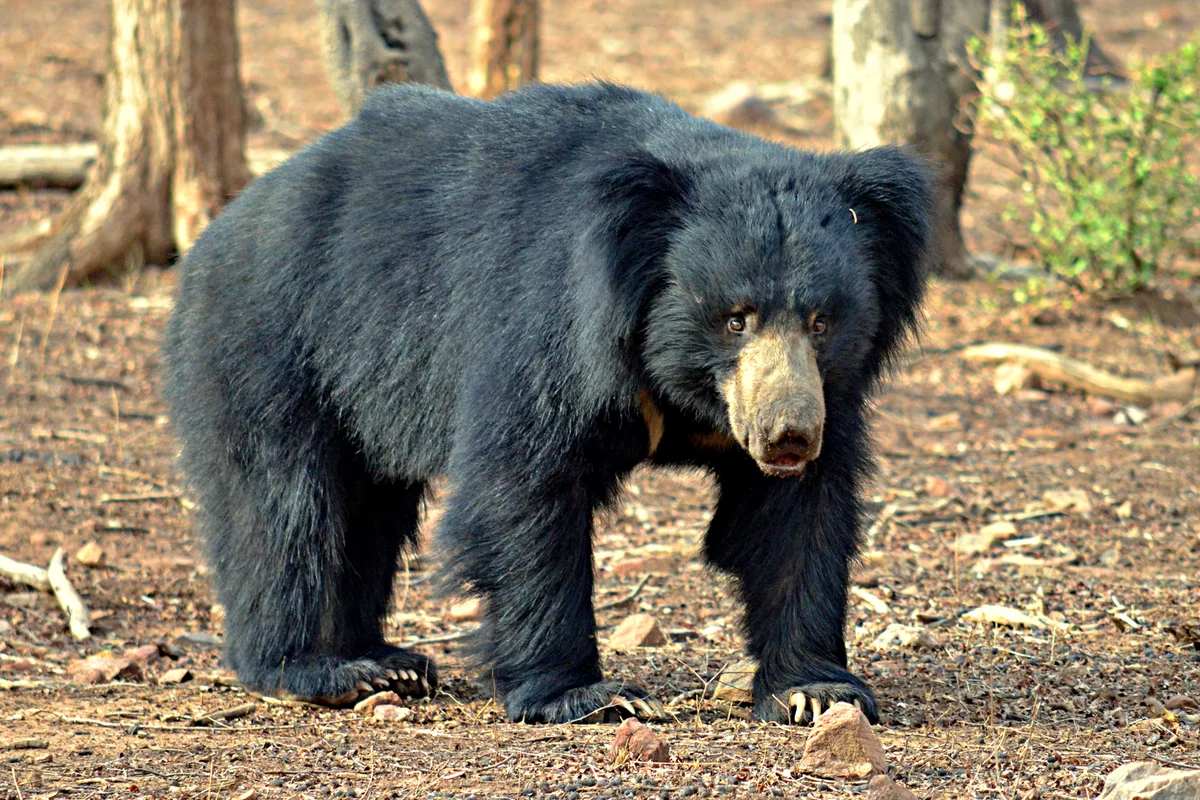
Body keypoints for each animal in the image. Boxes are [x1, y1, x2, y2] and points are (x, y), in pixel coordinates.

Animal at [162, 81, 926, 724]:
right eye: (735, 319)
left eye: (821, 321)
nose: (786, 435)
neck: (680, 387)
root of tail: (220, 227)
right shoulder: (549, 325)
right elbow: (524, 487)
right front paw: (589, 695)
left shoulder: (827, 392)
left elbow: (795, 517)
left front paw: (815, 690)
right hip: (271, 342)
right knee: (286, 507)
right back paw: (320, 669)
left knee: (367, 511)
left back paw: (386, 663)